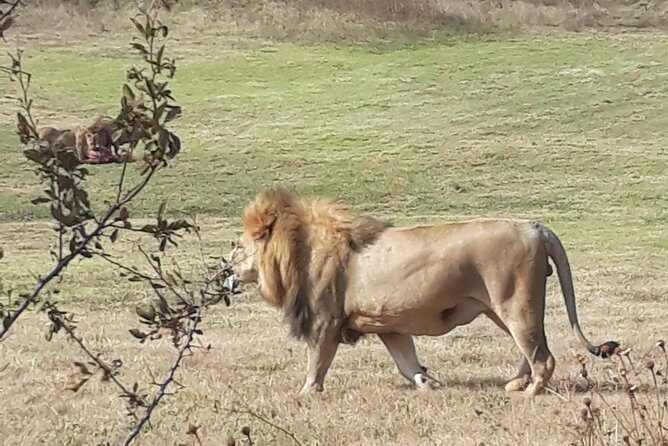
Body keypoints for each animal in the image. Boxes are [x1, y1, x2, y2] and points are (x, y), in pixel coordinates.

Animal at [227, 189, 618, 397]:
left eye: (237, 246)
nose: (225, 268)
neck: (297, 250)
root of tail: (535, 227)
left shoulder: (324, 321)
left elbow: (317, 361)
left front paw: (306, 393)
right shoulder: (388, 325)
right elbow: (406, 361)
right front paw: (427, 381)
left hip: (515, 304)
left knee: (542, 355)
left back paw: (529, 393)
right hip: (501, 309)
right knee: (533, 347)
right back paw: (516, 384)